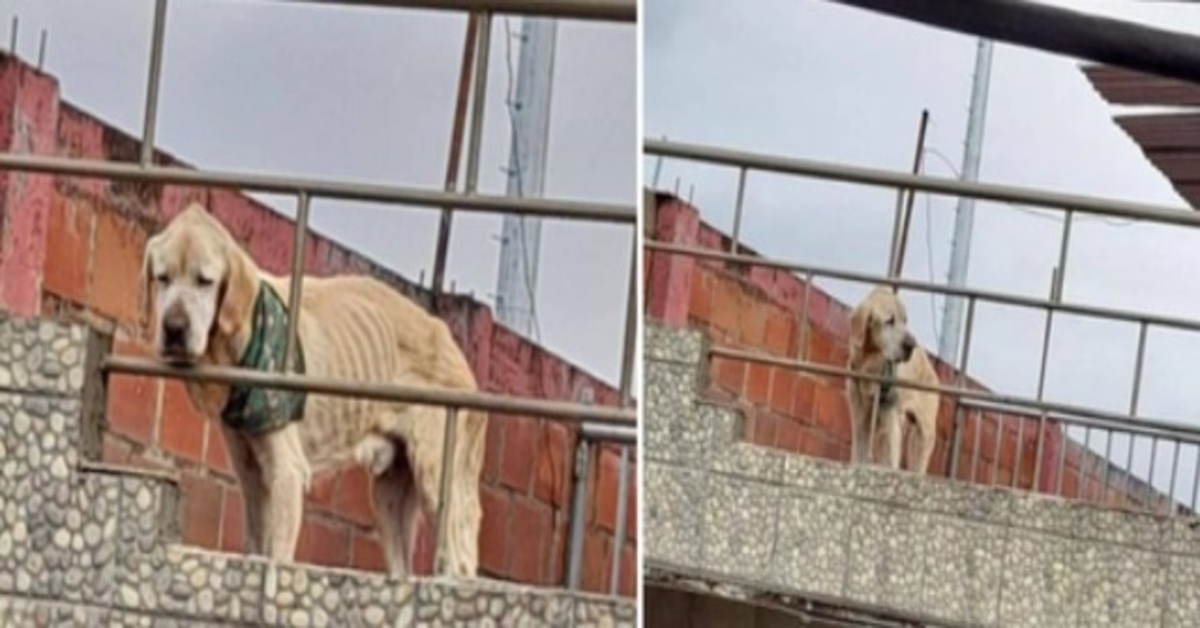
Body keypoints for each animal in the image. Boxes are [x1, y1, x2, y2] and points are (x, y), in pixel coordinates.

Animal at [144, 204, 487, 578]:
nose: (174, 328)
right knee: (402, 568)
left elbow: (276, 555)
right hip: (390, 495)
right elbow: (255, 542)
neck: (243, 339)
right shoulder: (250, 472)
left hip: (437, 478)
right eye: (162, 278)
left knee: (459, 559)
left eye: (204, 281)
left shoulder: (288, 473)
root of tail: (457, 349)